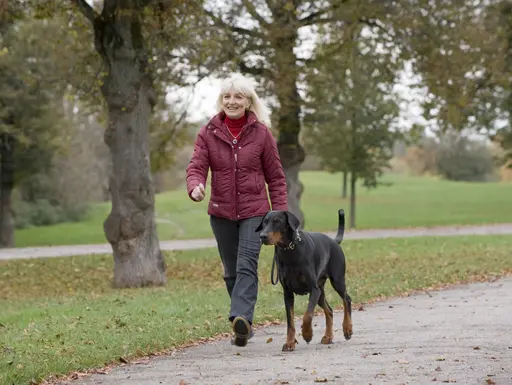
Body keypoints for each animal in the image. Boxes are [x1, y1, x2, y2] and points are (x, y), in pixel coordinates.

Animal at [256, 208, 352, 350]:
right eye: (264, 222)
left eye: (277, 221)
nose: (262, 236)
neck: (289, 250)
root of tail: (334, 241)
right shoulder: (288, 293)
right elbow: (290, 322)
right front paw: (290, 343)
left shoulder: (313, 289)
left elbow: (308, 315)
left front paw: (307, 334)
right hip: (320, 291)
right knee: (329, 310)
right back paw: (328, 337)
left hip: (337, 280)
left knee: (347, 299)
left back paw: (347, 329)